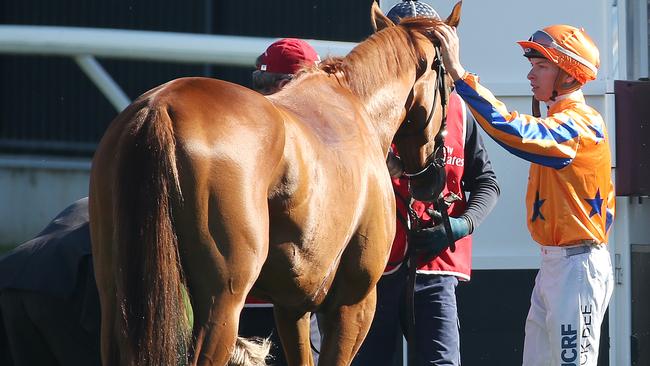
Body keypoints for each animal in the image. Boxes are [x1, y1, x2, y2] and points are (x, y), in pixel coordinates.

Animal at [88, 2, 460, 366]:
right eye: (452, 88)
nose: (431, 178)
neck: (355, 106)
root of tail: (161, 107)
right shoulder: (353, 303)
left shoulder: (292, 306)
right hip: (221, 302)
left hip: (116, 296)